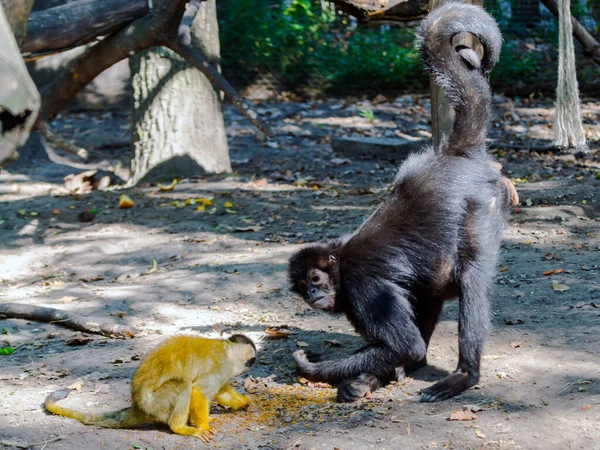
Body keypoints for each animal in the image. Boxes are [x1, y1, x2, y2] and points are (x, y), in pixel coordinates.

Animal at [44, 334, 255, 442]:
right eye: (250, 361)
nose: (249, 367)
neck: (225, 349)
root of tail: (138, 406)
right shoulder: (223, 365)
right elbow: (199, 390)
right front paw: (202, 426)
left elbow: (220, 390)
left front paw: (244, 403)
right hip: (156, 404)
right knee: (183, 384)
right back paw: (181, 427)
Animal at [288, 1, 512, 402]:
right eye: (301, 286)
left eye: (315, 278)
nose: (312, 292)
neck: (341, 261)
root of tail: (452, 154)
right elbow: (407, 348)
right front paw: (369, 378)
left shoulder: (362, 286)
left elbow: (407, 346)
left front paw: (309, 367)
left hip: (481, 205)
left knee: (471, 276)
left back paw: (464, 375)